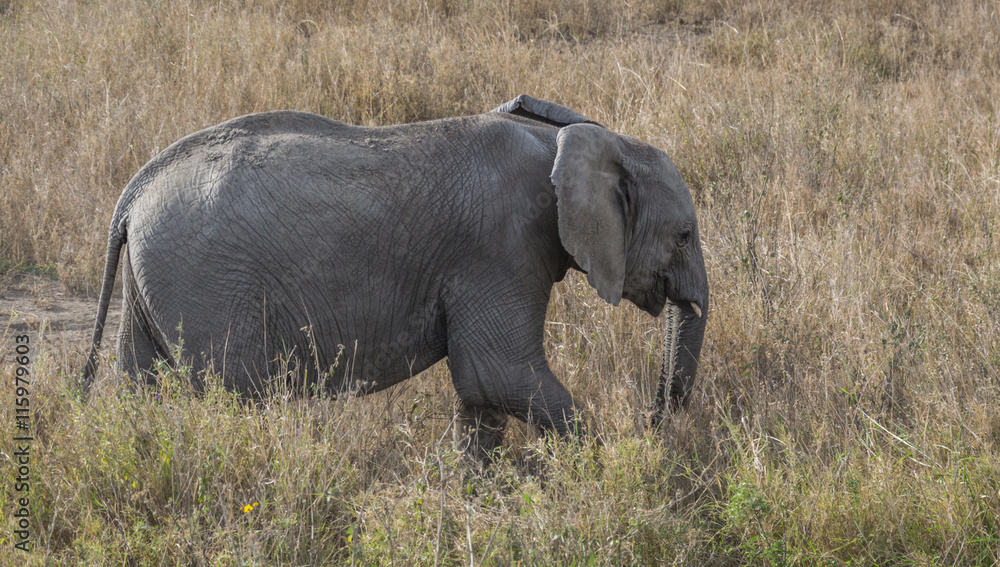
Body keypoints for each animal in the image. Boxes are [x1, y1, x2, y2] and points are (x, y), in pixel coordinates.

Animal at [82, 95, 708, 460]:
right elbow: (502, 374)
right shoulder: (503, 250)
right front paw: (604, 465)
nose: (653, 419)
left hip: (154, 281)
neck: (563, 139)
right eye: (684, 235)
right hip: (205, 283)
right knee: (233, 393)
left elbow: (482, 392)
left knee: (141, 387)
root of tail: (134, 194)